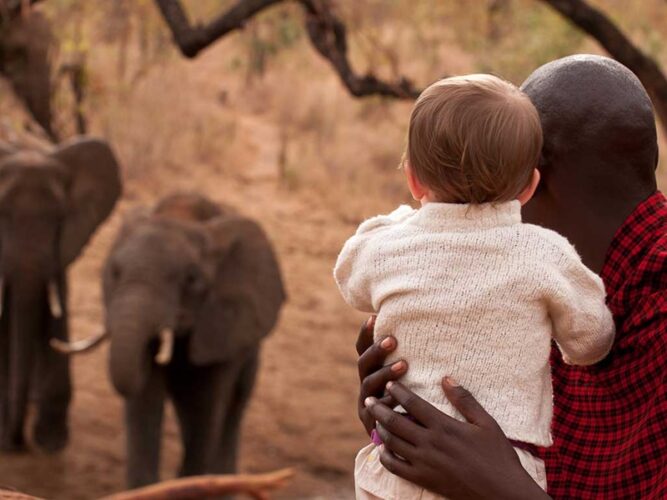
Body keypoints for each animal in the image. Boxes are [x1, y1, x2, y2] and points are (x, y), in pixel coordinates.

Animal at [0, 137, 122, 453]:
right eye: (1, 214)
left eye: (58, 217)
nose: (16, 443)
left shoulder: (62, 249)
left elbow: (54, 314)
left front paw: (52, 443)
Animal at [56, 192, 286, 488]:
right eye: (114, 272)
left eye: (191, 279)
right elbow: (145, 396)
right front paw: (145, 490)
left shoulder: (222, 326)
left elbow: (207, 405)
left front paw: (193, 485)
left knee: (233, 406)